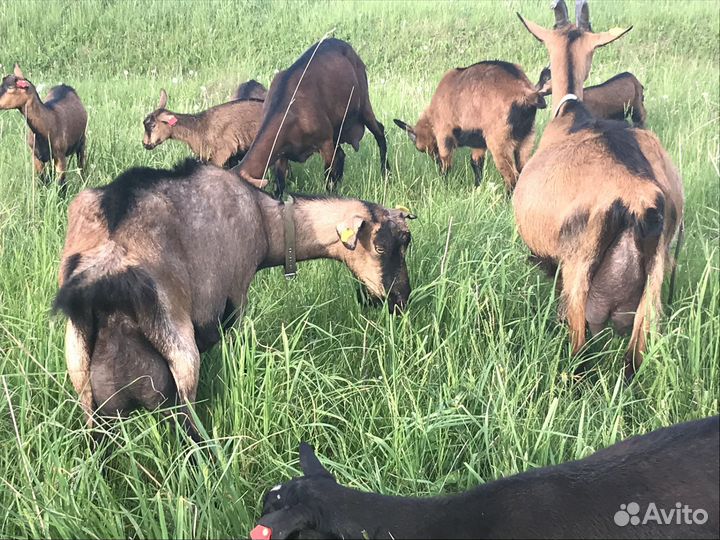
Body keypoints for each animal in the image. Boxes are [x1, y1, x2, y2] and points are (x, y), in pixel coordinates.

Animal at [53, 159, 414, 439]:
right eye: (381, 246)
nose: (400, 299)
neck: (266, 219)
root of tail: (108, 269)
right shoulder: (234, 294)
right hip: (179, 349)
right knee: (188, 426)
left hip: (81, 373)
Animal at [234, 38, 389, 197]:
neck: (288, 113)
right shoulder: (281, 153)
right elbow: (280, 185)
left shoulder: (325, 143)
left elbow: (329, 178)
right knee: (341, 154)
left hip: (363, 105)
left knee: (379, 132)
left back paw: (385, 175)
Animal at [393, 60, 547, 190]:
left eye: (421, 148)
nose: (434, 160)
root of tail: (526, 92)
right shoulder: (478, 142)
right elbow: (476, 163)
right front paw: (477, 188)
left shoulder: (444, 132)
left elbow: (446, 163)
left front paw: (443, 185)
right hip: (527, 137)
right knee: (523, 169)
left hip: (499, 141)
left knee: (511, 176)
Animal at [512, 0, 684, 379]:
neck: (572, 113)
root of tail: (639, 194)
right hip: (652, 288)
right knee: (633, 364)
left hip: (579, 277)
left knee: (579, 358)